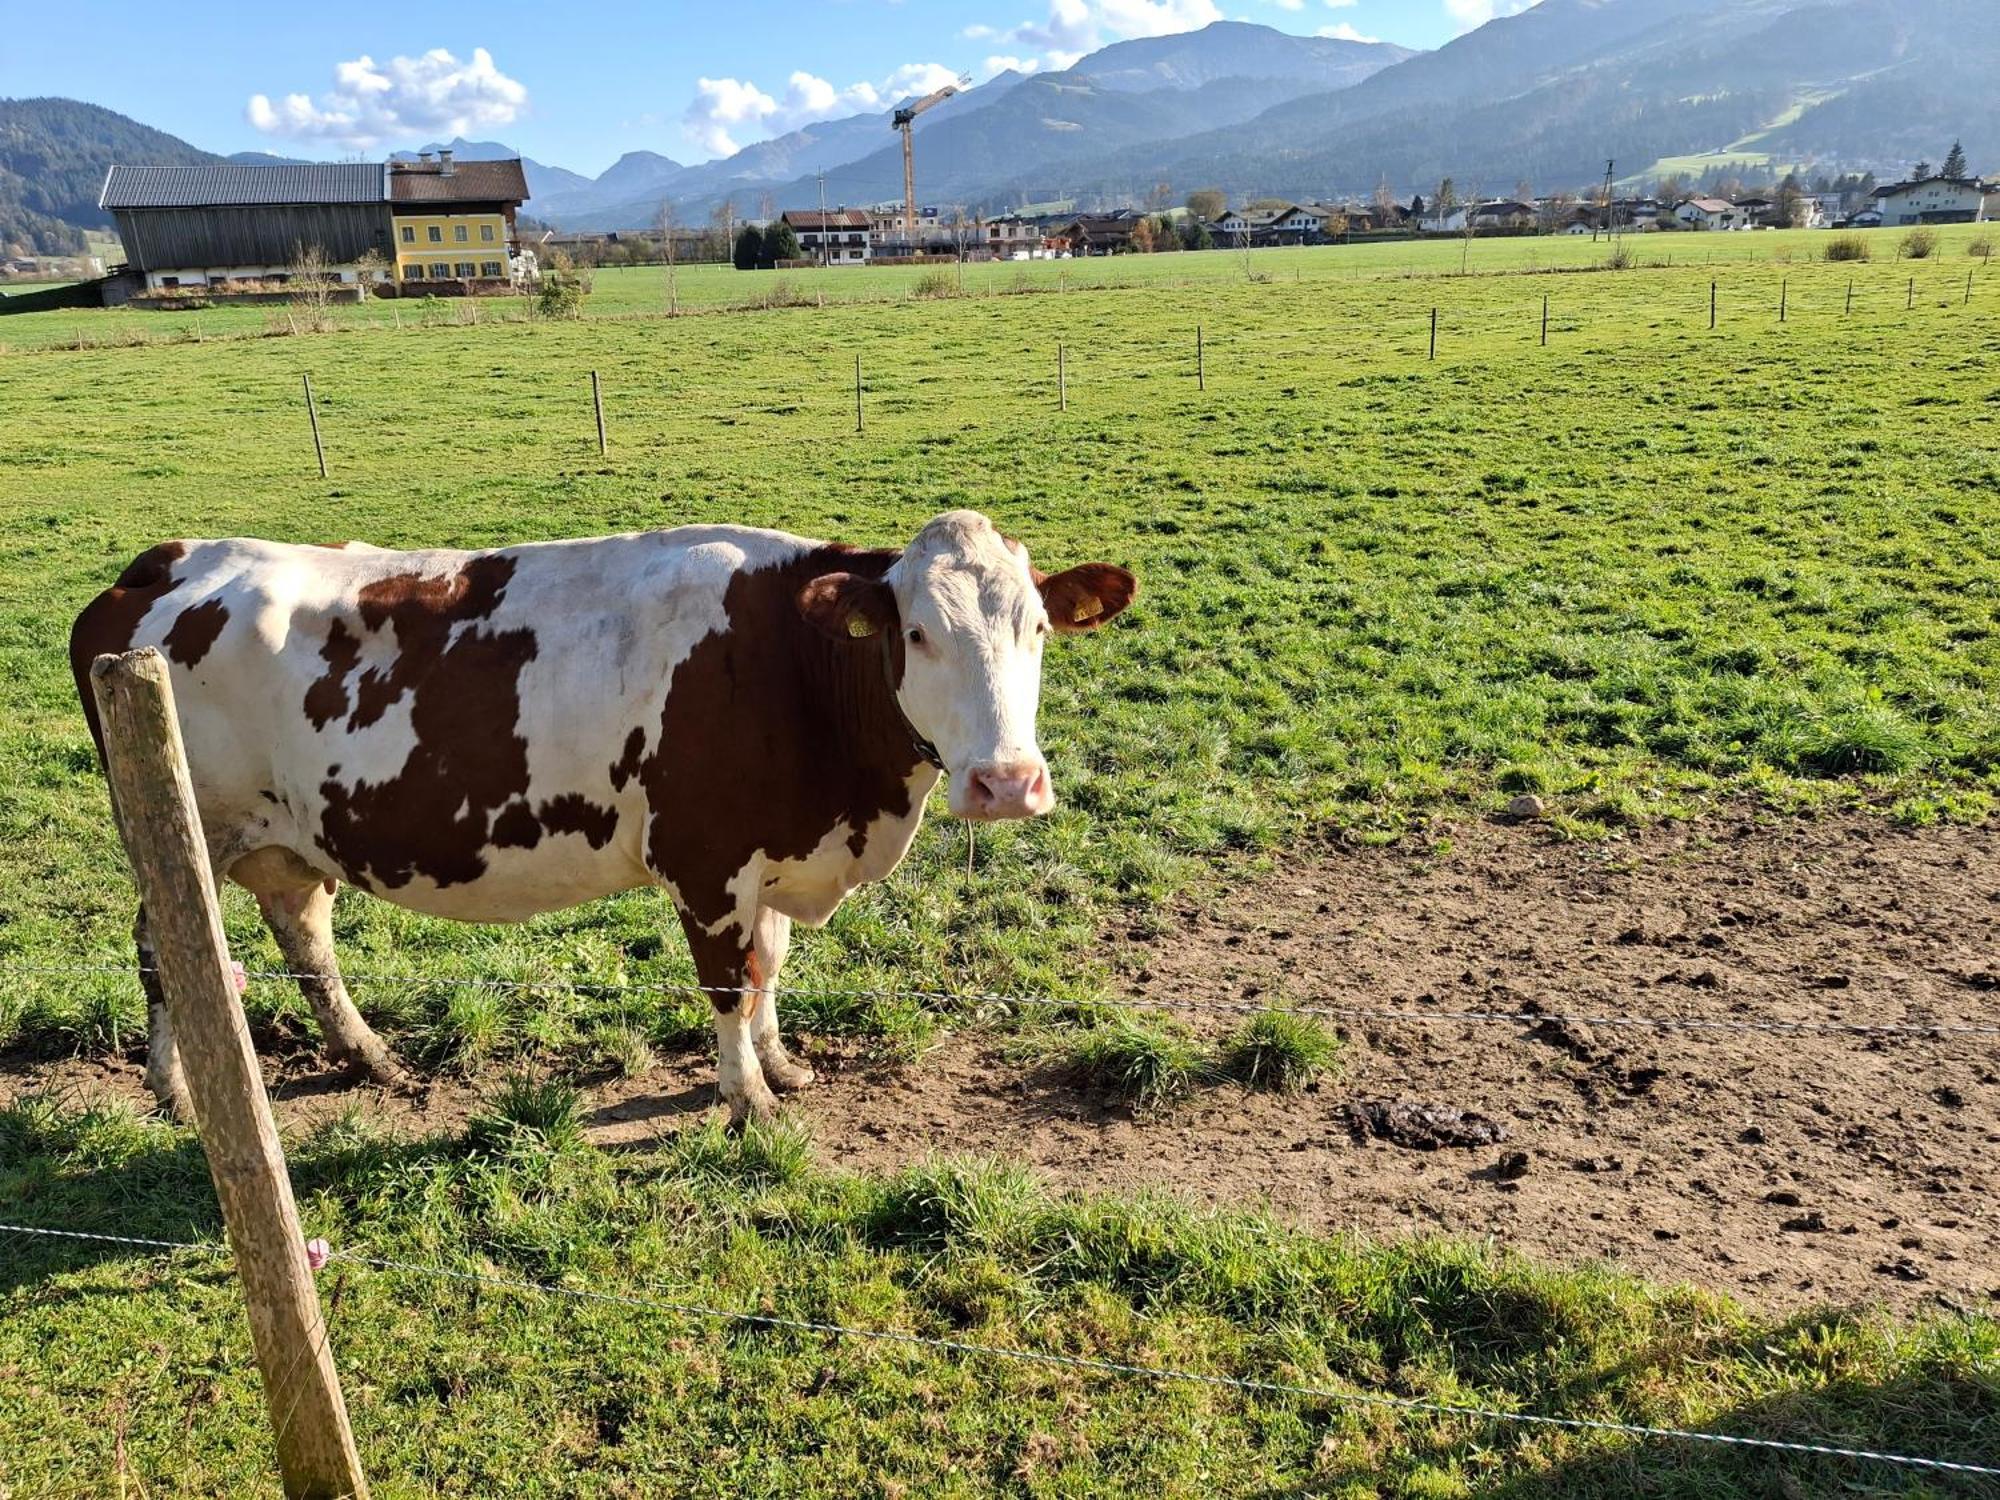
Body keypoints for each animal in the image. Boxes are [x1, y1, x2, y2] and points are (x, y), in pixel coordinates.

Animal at [70, 516, 1136, 1128]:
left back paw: (368, 1058)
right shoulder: (706, 861)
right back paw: (174, 1089)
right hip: (181, 834)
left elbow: (771, 966)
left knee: (305, 937)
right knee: (167, 945)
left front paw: (784, 1066)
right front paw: (746, 1097)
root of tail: (166, 560)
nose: (1008, 783)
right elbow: (729, 982)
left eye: (1039, 628)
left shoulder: (772, 856)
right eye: (917, 633)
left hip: (286, 838)